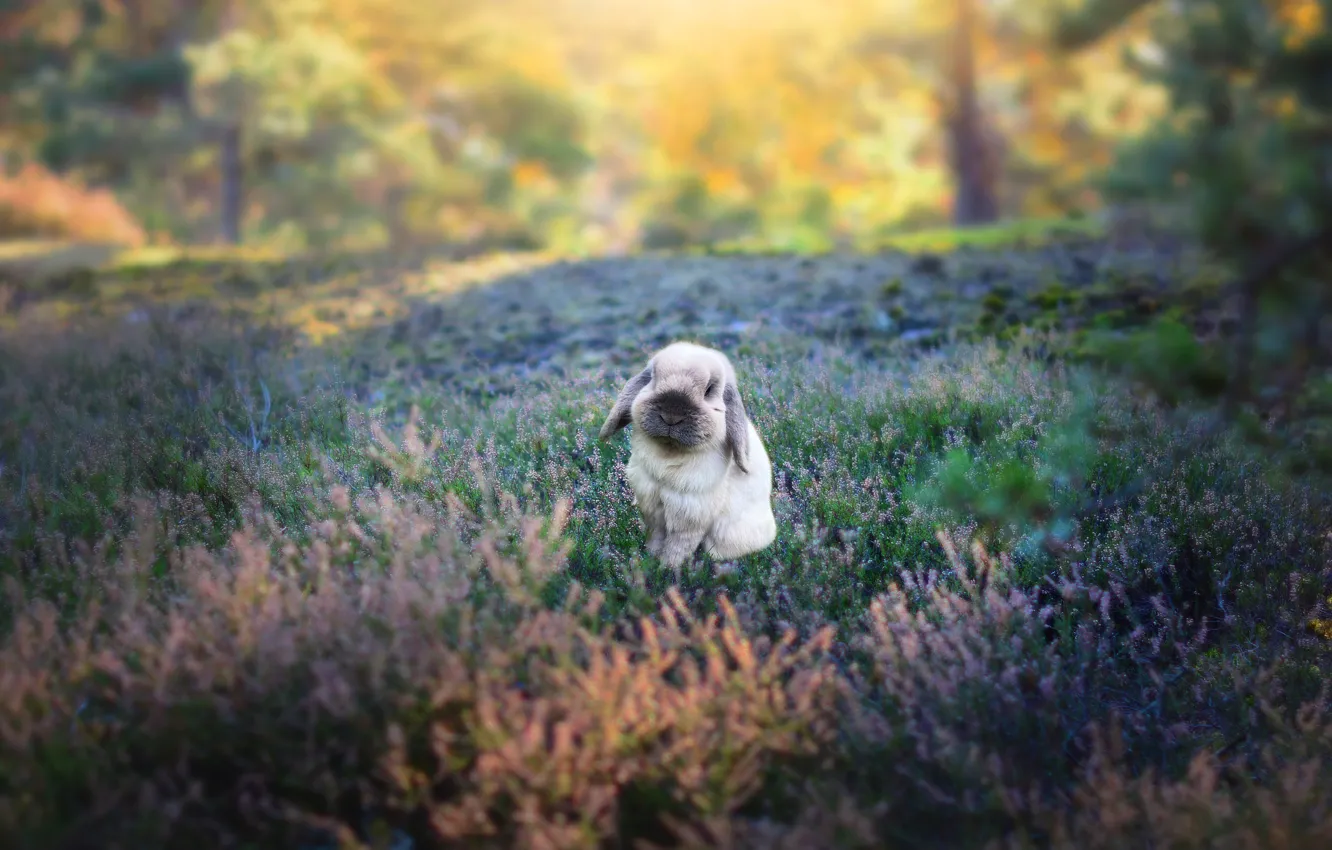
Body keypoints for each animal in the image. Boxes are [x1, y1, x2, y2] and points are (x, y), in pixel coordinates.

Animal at [598, 341, 777, 571]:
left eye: (709, 390)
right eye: (653, 378)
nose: (671, 416)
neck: (669, 453)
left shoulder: (689, 515)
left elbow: (678, 546)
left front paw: (667, 568)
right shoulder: (653, 508)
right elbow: (656, 537)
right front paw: (651, 558)